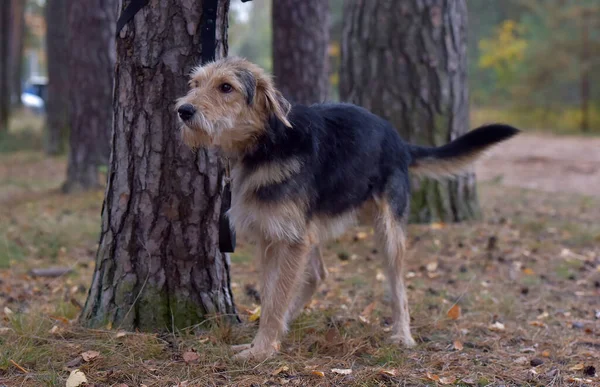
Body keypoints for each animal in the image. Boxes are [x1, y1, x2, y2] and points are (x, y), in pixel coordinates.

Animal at [175, 56, 520, 362]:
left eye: (226, 87)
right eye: (195, 84)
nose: (182, 110)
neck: (268, 144)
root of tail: (400, 142)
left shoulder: (290, 238)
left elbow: (275, 300)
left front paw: (260, 350)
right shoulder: (273, 235)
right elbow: (273, 293)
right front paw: (265, 340)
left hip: (387, 232)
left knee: (398, 286)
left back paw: (403, 335)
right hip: (310, 228)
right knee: (317, 275)